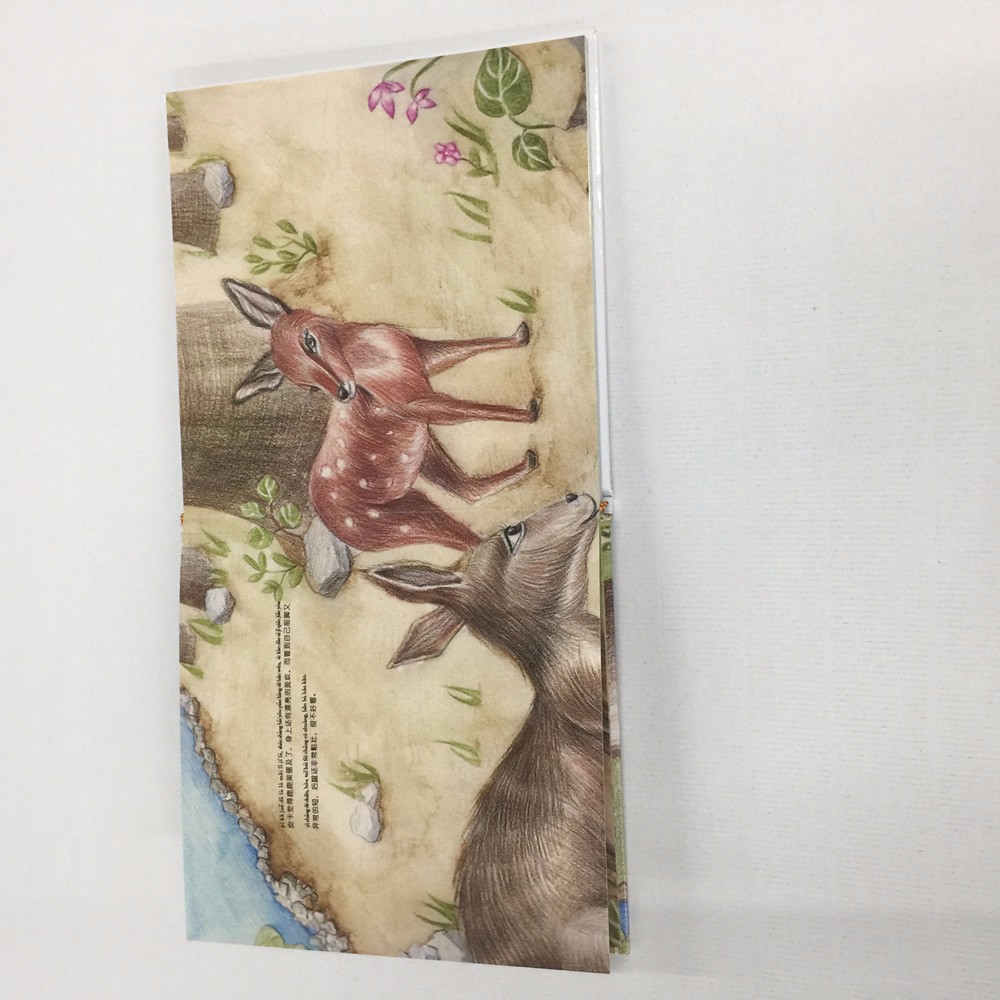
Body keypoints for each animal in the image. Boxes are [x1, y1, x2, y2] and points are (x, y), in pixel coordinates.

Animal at [223, 279, 539, 553]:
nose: (344, 392)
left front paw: (521, 334)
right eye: (309, 387)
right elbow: (465, 409)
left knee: (467, 492)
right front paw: (532, 411)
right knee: (472, 538)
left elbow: (459, 349)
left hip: (424, 454)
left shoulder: (421, 355)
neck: (369, 359)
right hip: (408, 516)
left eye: (309, 340)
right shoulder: (410, 403)